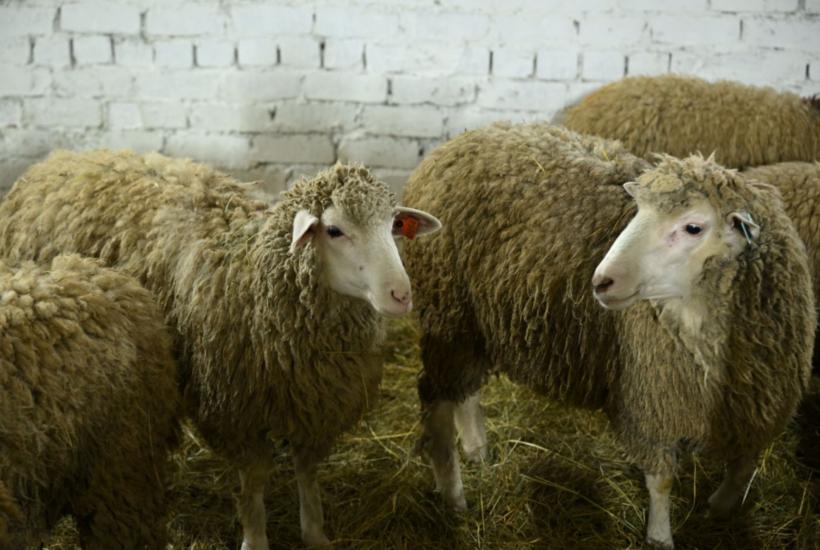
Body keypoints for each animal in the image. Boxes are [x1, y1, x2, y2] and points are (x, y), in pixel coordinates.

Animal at [402, 123, 815, 549]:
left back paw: (477, 448)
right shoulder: (652, 403)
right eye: (637, 214)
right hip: (447, 314)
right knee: (438, 405)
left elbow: (745, 463)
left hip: (473, 325)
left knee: (466, 390)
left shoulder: (760, 404)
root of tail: (465, 138)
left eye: (693, 227)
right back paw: (454, 496)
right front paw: (660, 537)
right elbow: (662, 480)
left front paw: (722, 508)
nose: (601, 282)